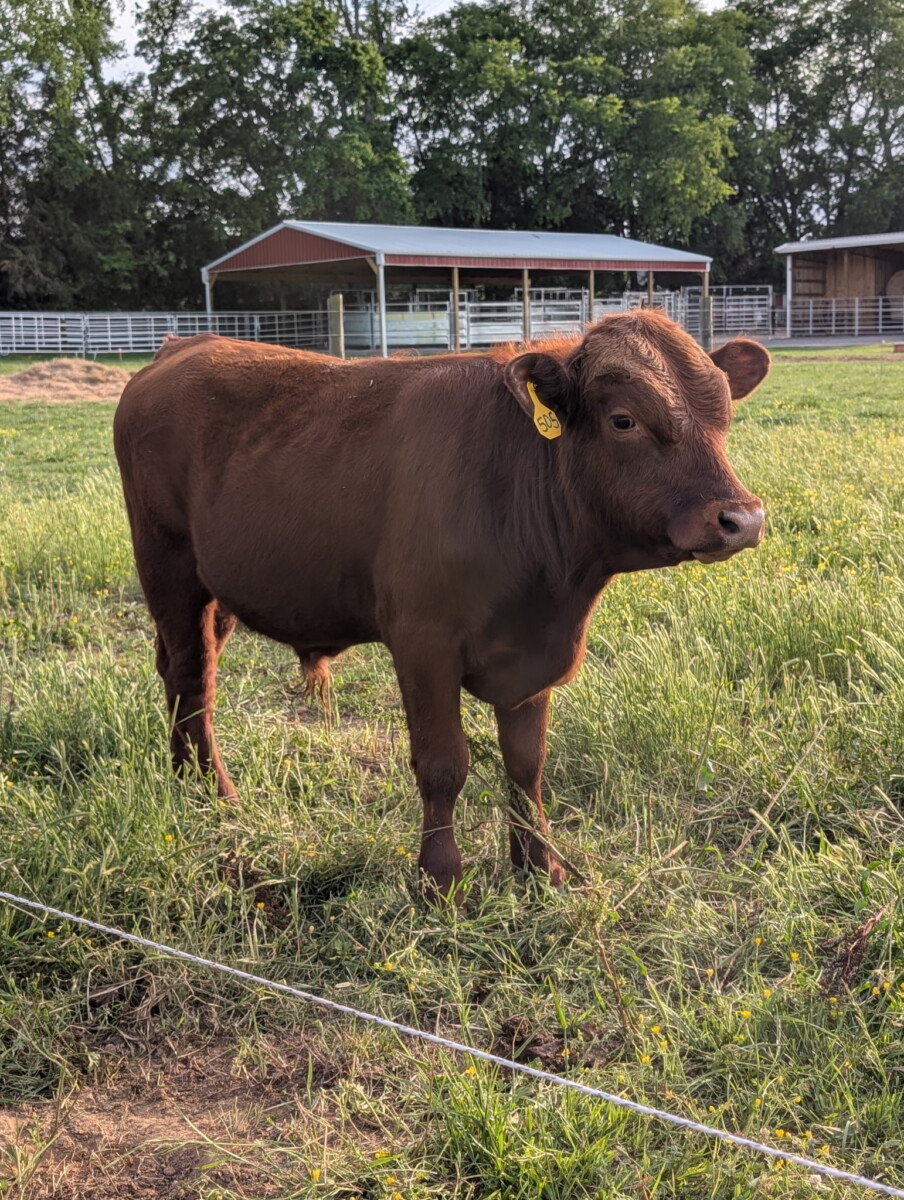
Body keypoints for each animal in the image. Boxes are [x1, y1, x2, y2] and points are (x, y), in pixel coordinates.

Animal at [113, 311, 769, 901]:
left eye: (724, 416)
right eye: (624, 419)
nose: (741, 518)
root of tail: (185, 346)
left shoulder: (534, 652)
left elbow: (526, 764)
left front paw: (540, 868)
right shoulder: (423, 644)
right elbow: (443, 763)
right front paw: (440, 881)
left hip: (219, 586)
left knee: (191, 674)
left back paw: (192, 781)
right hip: (168, 566)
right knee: (191, 675)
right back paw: (210, 792)